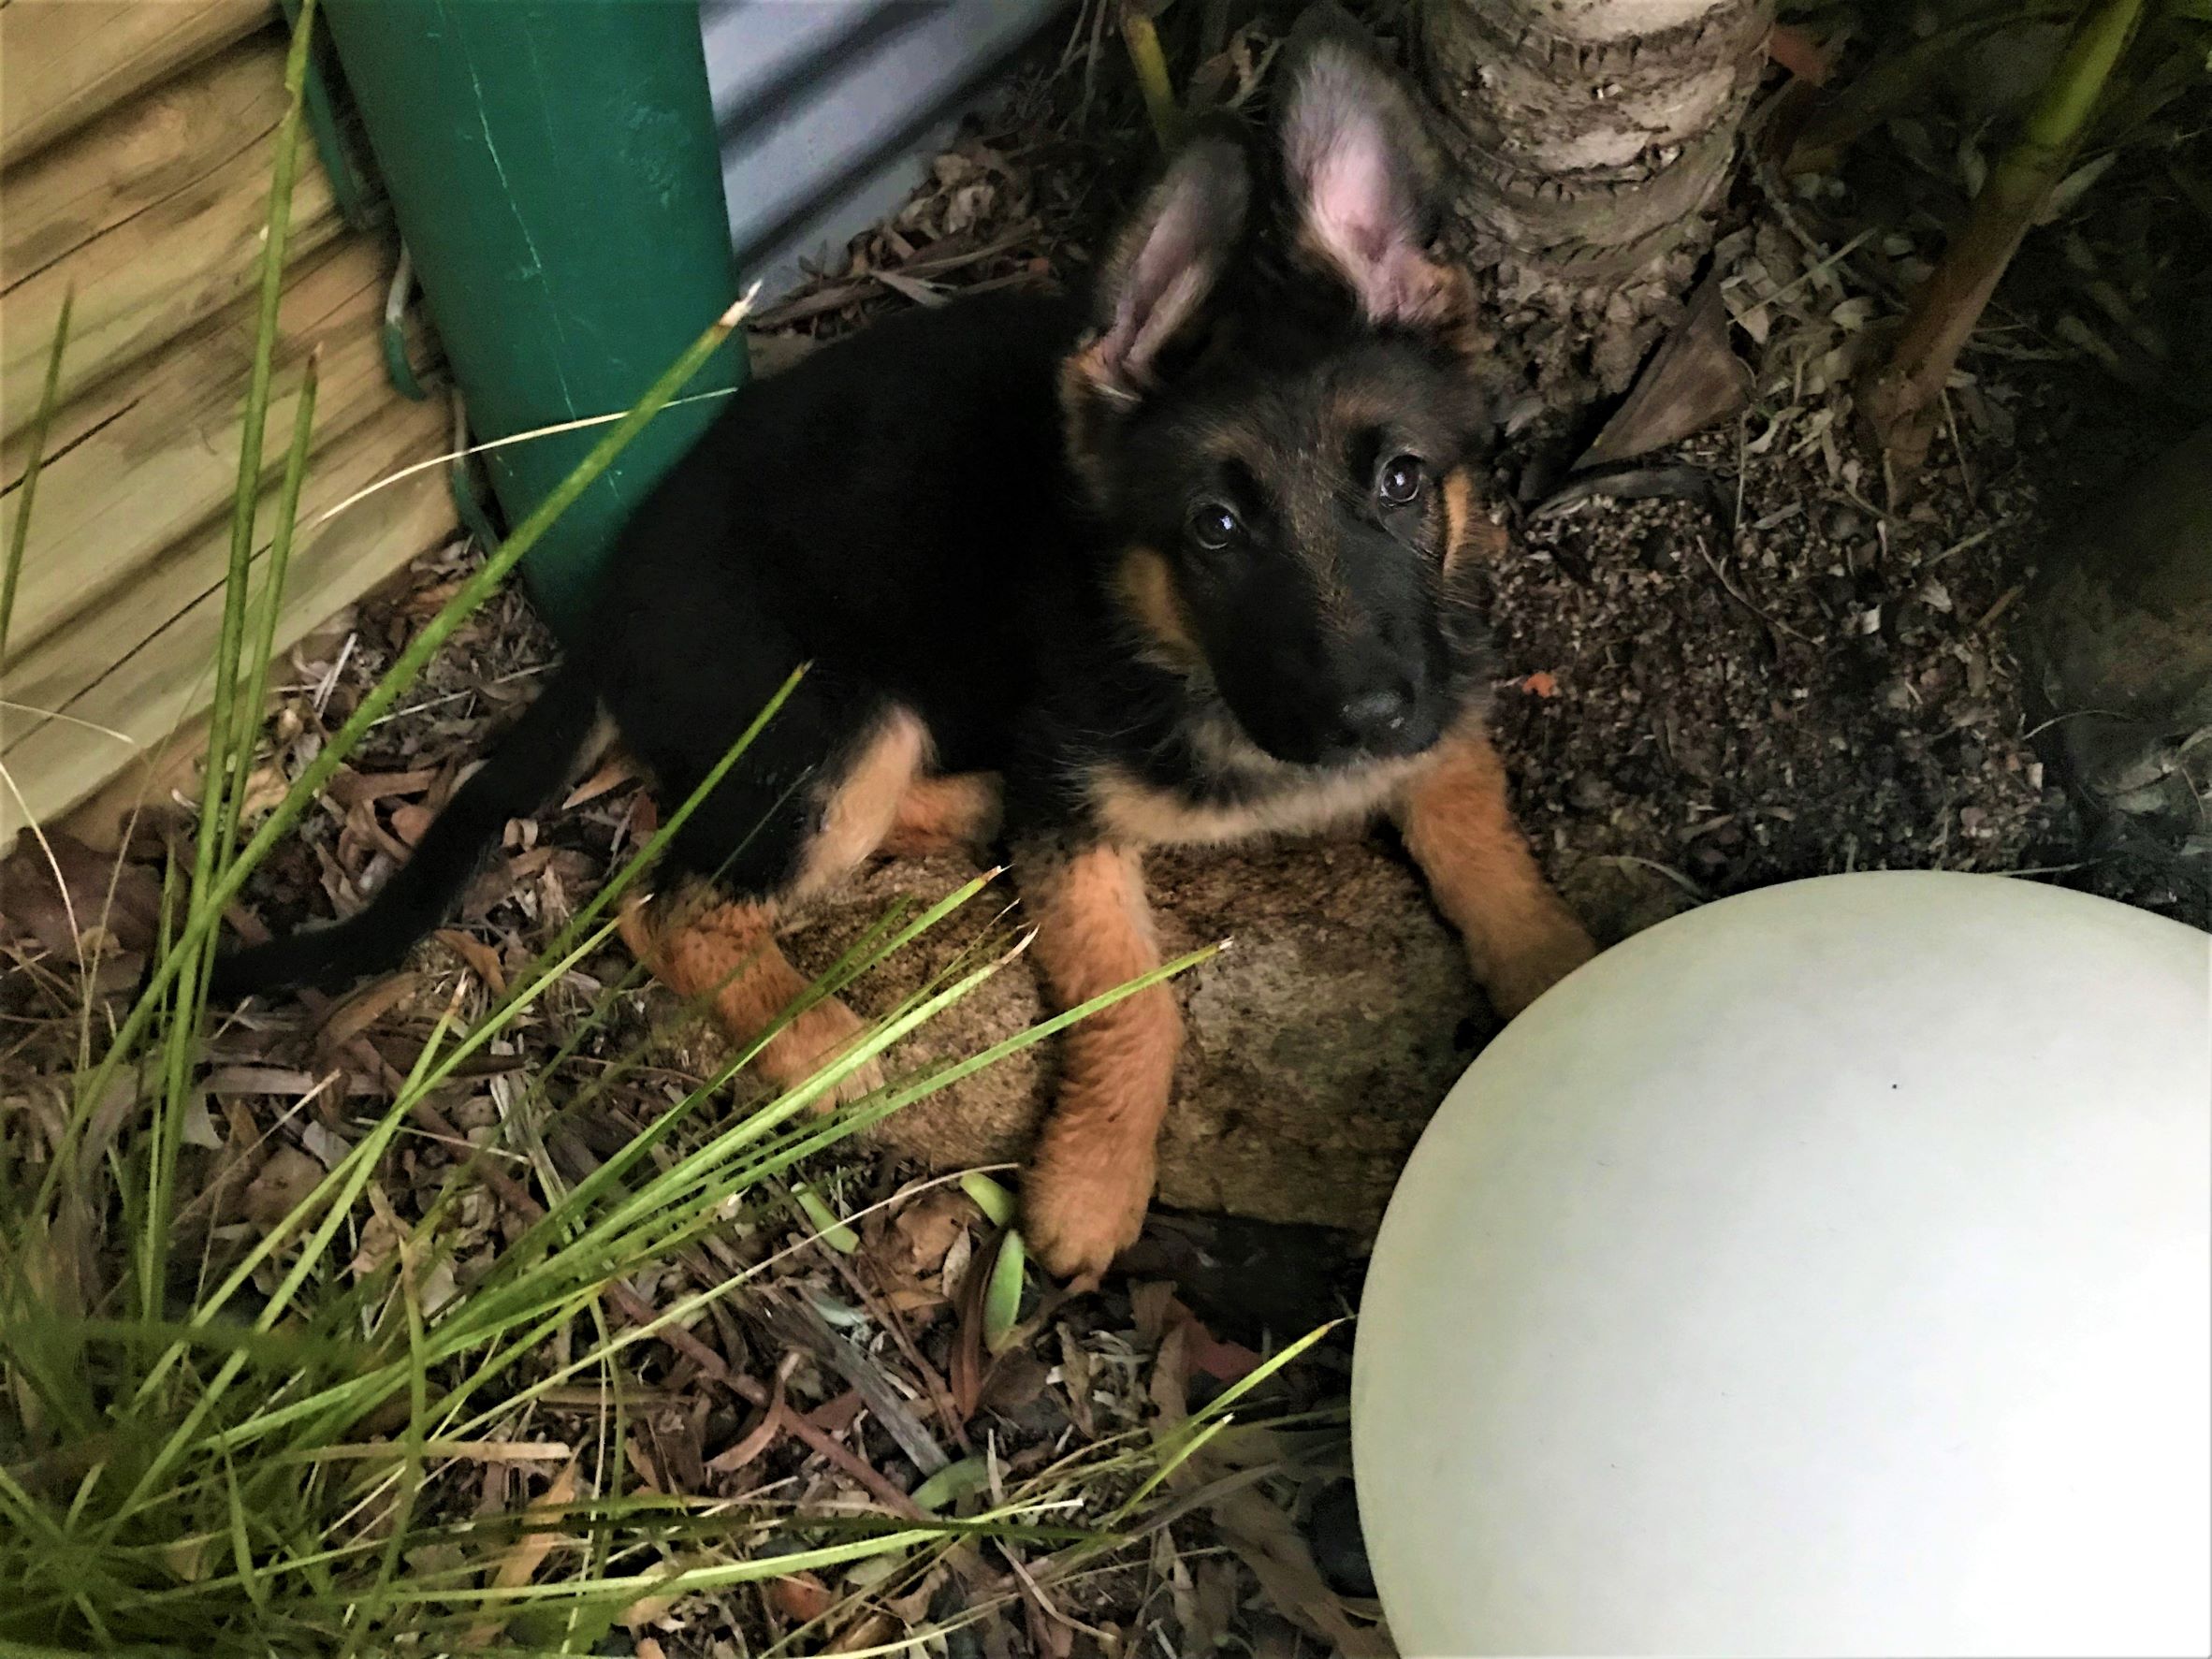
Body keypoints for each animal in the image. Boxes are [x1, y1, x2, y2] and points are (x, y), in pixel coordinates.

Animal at [215, 38, 1601, 1283]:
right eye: (1213, 528)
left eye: (1404, 481)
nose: (1368, 720)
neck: (1183, 657)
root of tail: (613, 602)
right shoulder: (1075, 819)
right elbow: (1135, 1004)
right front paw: (1092, 1186)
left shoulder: (1445, 705)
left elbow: (1488, 849)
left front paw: (1558, 970)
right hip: (836, 720)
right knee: (668, 906)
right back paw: (817, 1046)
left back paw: (965, 811)